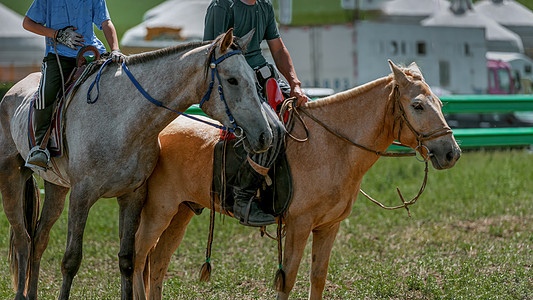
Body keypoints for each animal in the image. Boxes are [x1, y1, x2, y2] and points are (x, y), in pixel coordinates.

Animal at [0, 29, 272, 298]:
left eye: (255, 78)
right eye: (232, 80)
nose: (265, 135)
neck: (122, 121)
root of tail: (12, 91)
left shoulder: (132, 195)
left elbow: (127, 260)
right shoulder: (81, 195)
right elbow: (71, 260)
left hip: (56, 187)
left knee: (39, 239)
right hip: (12, 179)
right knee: (24, 240)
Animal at [131, 59, 460, 298]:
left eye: (440, 104)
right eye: (417, 105)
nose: (451, 153)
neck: (331, 145)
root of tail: (158, 132)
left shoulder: (328, 227)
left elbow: (318, 277)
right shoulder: (299, 226)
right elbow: (287, 280)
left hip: (182, 211)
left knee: (157, 263)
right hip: (159, 210)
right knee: (138, 257)